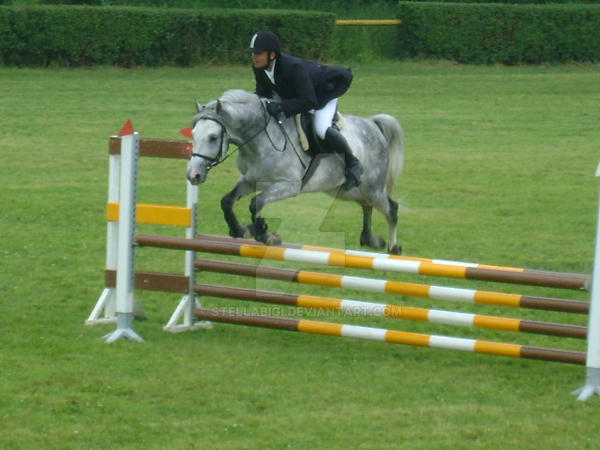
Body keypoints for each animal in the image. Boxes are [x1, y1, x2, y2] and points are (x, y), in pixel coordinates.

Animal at [185, 88, 406, 253]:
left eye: (213, 137)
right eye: (193, 134)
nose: (193, 175)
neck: (258, 140)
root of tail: (373, 124)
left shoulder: (289, 186)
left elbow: (257, 203)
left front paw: (265, 234)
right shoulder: (250, 180)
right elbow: (227, 201)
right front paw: (241, 229)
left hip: (372, 187)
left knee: (391, 207)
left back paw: (394, 249)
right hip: (343, 189)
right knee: (366, 204)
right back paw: (370, 239)